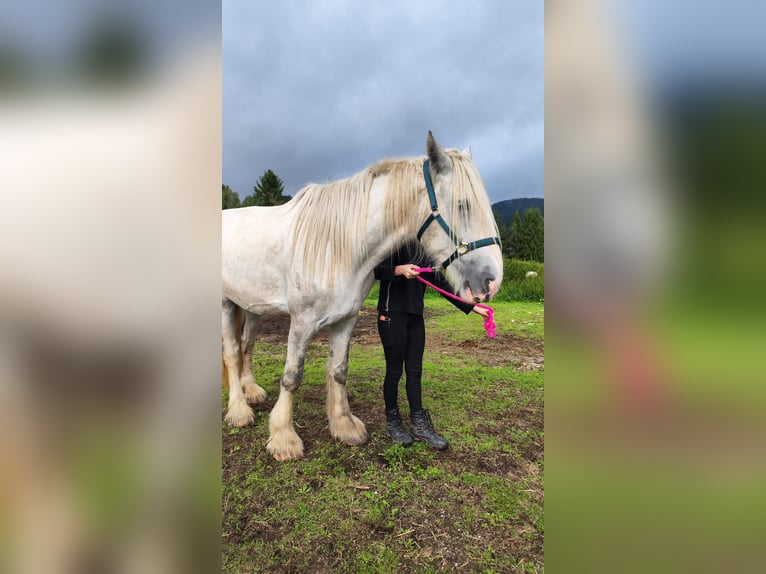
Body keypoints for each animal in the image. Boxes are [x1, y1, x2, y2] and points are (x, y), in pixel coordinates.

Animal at [222, 132, 503, 460]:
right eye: (462, 205)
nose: (493, 280)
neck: (338, 244)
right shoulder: (302, 322)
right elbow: (292, 376)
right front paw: (284, 439)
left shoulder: (346, 319)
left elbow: (339, 371)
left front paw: (344, 426)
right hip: (226, 304)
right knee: (231, 352)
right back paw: (239, 410)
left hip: (252, 306)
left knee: (246, 345)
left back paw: (251, 392)